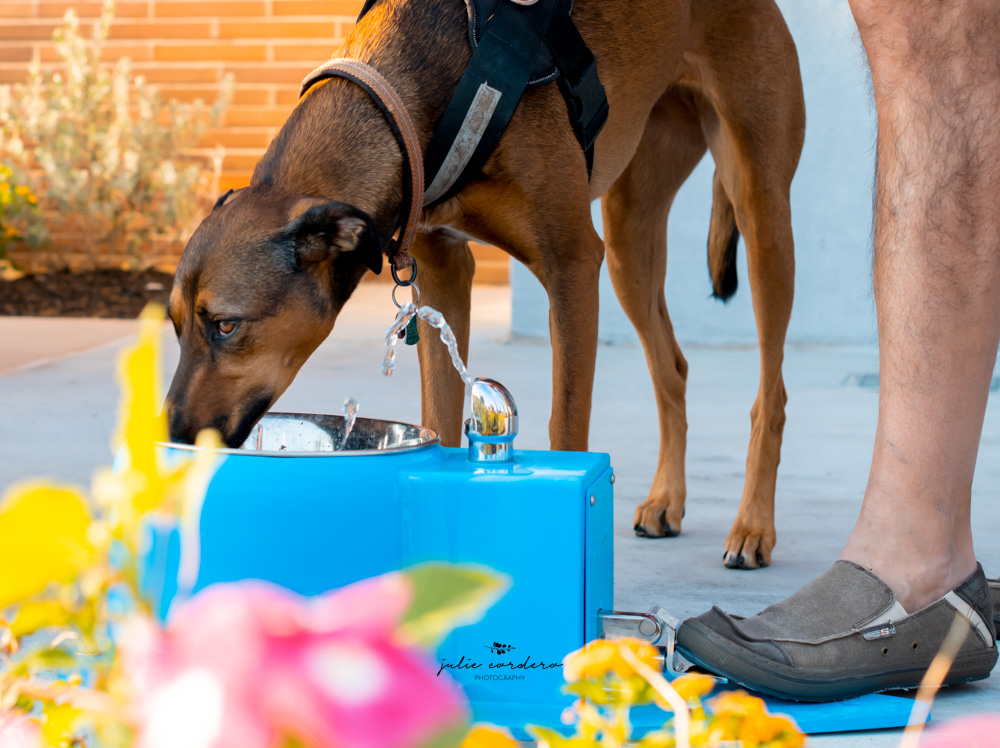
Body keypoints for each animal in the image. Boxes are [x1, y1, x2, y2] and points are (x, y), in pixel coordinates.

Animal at [164, 0, 804, 568]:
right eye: (173, 326)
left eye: (227, 325)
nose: (170, 432)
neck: (406, 95)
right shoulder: (442, 271)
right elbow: (440, 419)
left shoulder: (573, 265)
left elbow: (566, 428)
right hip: (631, 235)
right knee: (672, 367)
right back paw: (668, 500)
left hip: (759, 208)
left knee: (772, 392)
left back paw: (754, 527)